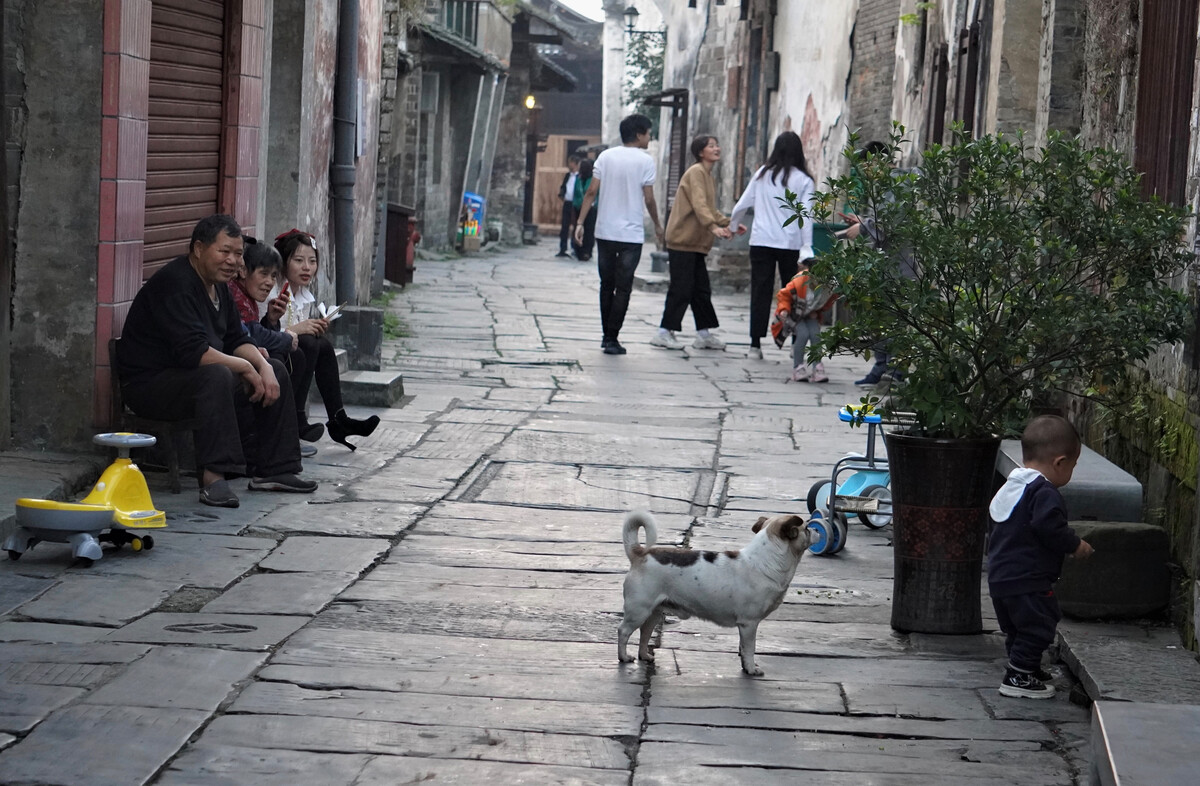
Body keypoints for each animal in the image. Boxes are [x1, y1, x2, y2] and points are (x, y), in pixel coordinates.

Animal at [624, 511, 811, 676]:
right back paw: (623, 657)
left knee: (644, 633)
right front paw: (751, 669)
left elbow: (742, 648)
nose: (814, 528)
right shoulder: (749, 624)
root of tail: (640, 553)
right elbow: (749, 648)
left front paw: (745, 666)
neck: (765, 561)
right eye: (807, 529)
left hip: (654, 613)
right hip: (638, 611)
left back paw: (644, 655)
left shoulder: (745, 628)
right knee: (623, 631)